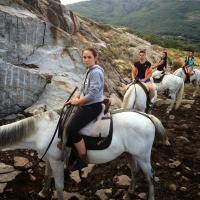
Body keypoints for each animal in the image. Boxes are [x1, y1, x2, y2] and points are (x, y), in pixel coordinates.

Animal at [0, 108, 170, 200]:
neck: (41, 129)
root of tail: (147, 117)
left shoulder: (56, 161)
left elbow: (59, 186)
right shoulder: (49, 159)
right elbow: (47, 175)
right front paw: (43, 192)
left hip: (143, 156)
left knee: (150, 176)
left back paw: (150, 196)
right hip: (130, 153)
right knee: (135, 172)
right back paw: (128, 194)